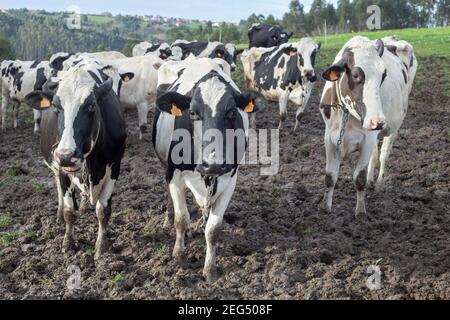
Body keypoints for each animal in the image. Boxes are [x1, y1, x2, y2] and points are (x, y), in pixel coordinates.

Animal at [24, 63, 126, 258]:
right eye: (56, 107)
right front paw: (68, 244)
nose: (66, 155)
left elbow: (103, 210)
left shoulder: (115, 167)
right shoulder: (62, 169)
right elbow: (69, 211)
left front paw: (102, 247)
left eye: (92, 105)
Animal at [320, 35, 418, 218]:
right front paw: (325, 207)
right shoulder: (329, 136)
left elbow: (359, 177)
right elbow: (330, 176)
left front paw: (360, 211)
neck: (346, 114)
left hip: (394, 126)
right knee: (375, 155)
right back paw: (372, 180)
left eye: (383, 75)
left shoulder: (367, 138)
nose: (377, 121)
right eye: (356, 75)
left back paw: (378, 183)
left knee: (383, 154)